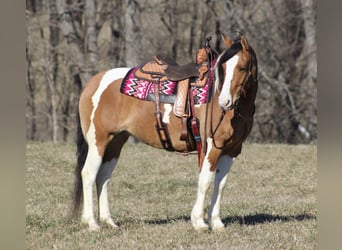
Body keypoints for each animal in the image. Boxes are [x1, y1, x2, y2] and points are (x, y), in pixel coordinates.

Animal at [73, 33, 260, 232]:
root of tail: (93, 83)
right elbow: (205, 181)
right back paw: (92, 223)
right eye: (223, 68)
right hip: (98, 142)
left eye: (242, 68)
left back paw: (108, 221)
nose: (225, 102)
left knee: (103, 177)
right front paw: (199, 222)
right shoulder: (211, 147)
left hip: (115, 143)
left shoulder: (231, 150)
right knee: (88, 174)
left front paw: (216, 222)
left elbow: (221, 183)